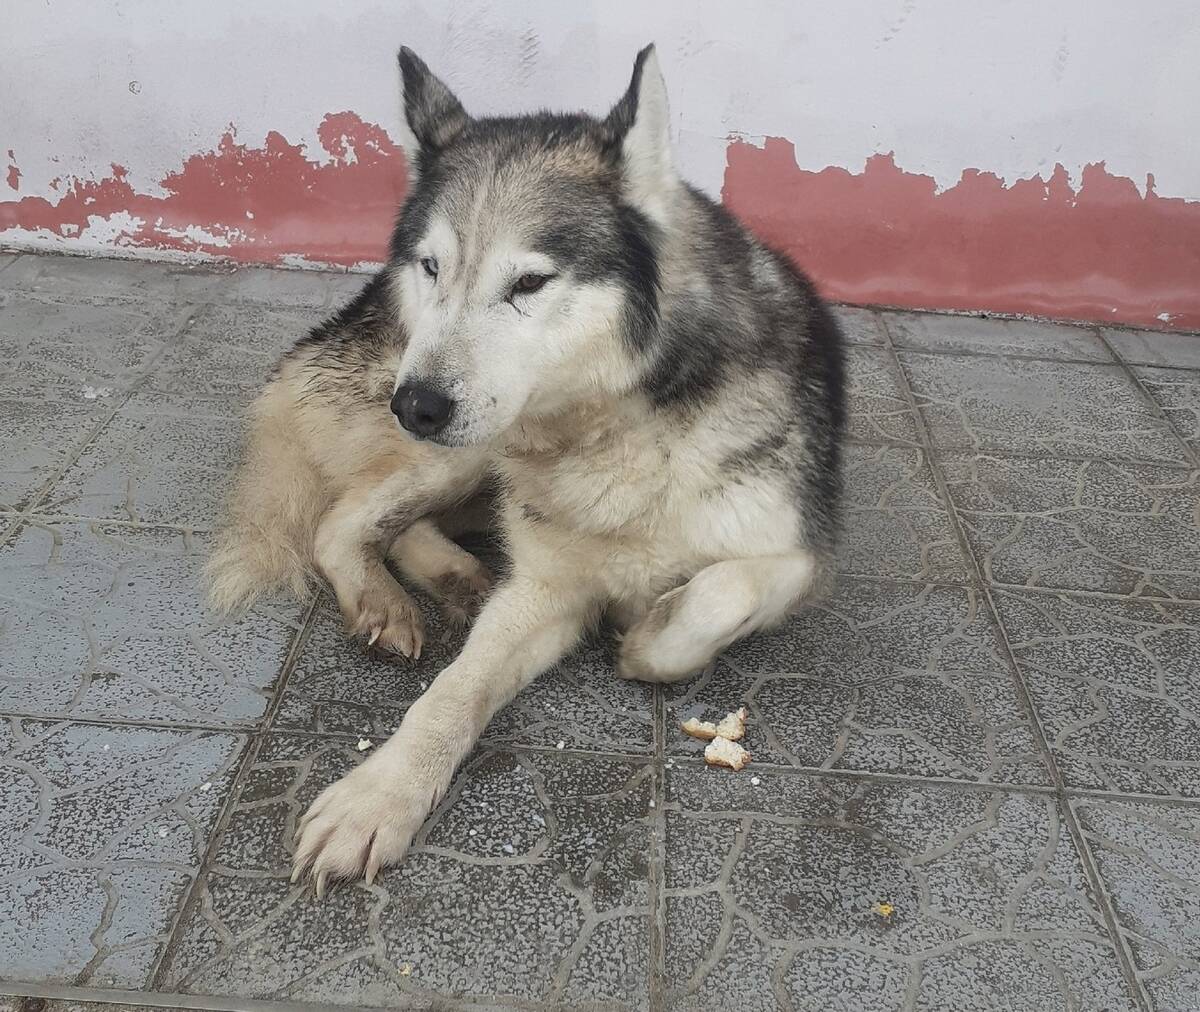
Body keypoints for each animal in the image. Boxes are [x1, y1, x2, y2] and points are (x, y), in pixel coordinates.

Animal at [208, 43, 844, 893]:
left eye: (530, 282)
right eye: (432, 266)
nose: (415, 405)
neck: (620, 434)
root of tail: (345, 316)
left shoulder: (801, 558)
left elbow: (718, 593)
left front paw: (648, 632)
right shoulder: (543, 591)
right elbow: (450, 695)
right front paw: (377, 797)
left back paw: (454, 575)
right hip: (459, 453)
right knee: (341, 521)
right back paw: (394, 597)